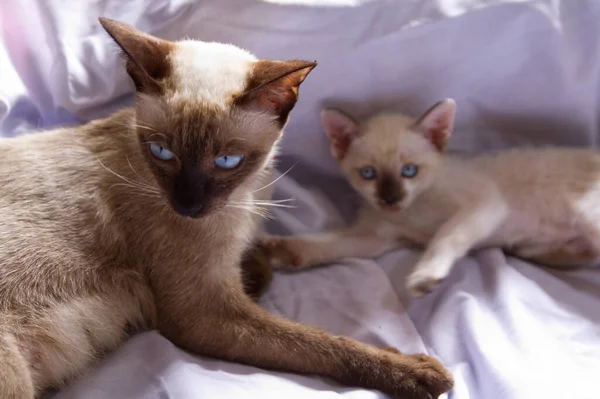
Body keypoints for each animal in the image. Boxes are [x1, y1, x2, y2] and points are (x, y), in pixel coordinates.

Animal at [0, 18, 452, 399]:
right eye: (162, 152)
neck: (245, 198)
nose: (188, 205)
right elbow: (323, 343)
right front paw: (420, 373)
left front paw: (257, 269)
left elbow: (263, 268)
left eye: (227, 161)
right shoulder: (206, 315)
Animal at [264, 98, 600, 298]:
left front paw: (425, 274)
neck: (412, 211)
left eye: (409, 171)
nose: (390, 199)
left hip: (587, 213)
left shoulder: (486, 202)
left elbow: (446, 236)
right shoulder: (373, 238)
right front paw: (281, 250)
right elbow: (326, 244)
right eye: (369, 173)